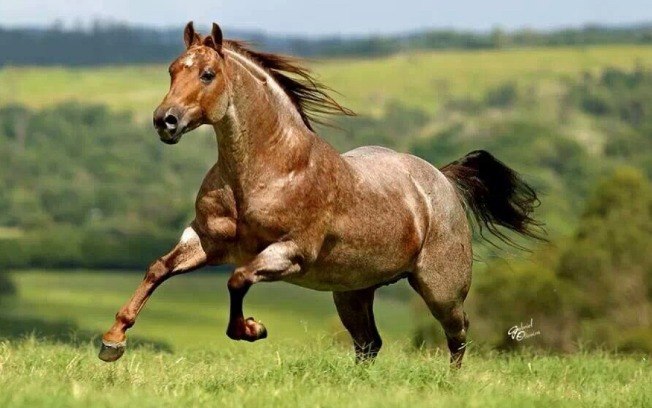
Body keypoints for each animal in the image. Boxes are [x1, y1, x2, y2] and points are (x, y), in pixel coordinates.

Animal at [97, 21, 544, 366]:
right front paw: (112, 341)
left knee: (457, 333)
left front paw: (253, 329)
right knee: (369, 343)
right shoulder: (206, 240)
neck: (269, 170)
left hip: (440, 288)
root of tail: (443, 180)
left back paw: (450, 382)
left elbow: (237, 280)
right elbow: (157, 269)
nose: (165, 121)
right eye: (173, 70)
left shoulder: (291, 252)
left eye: (207, 74)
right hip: (352, 290)